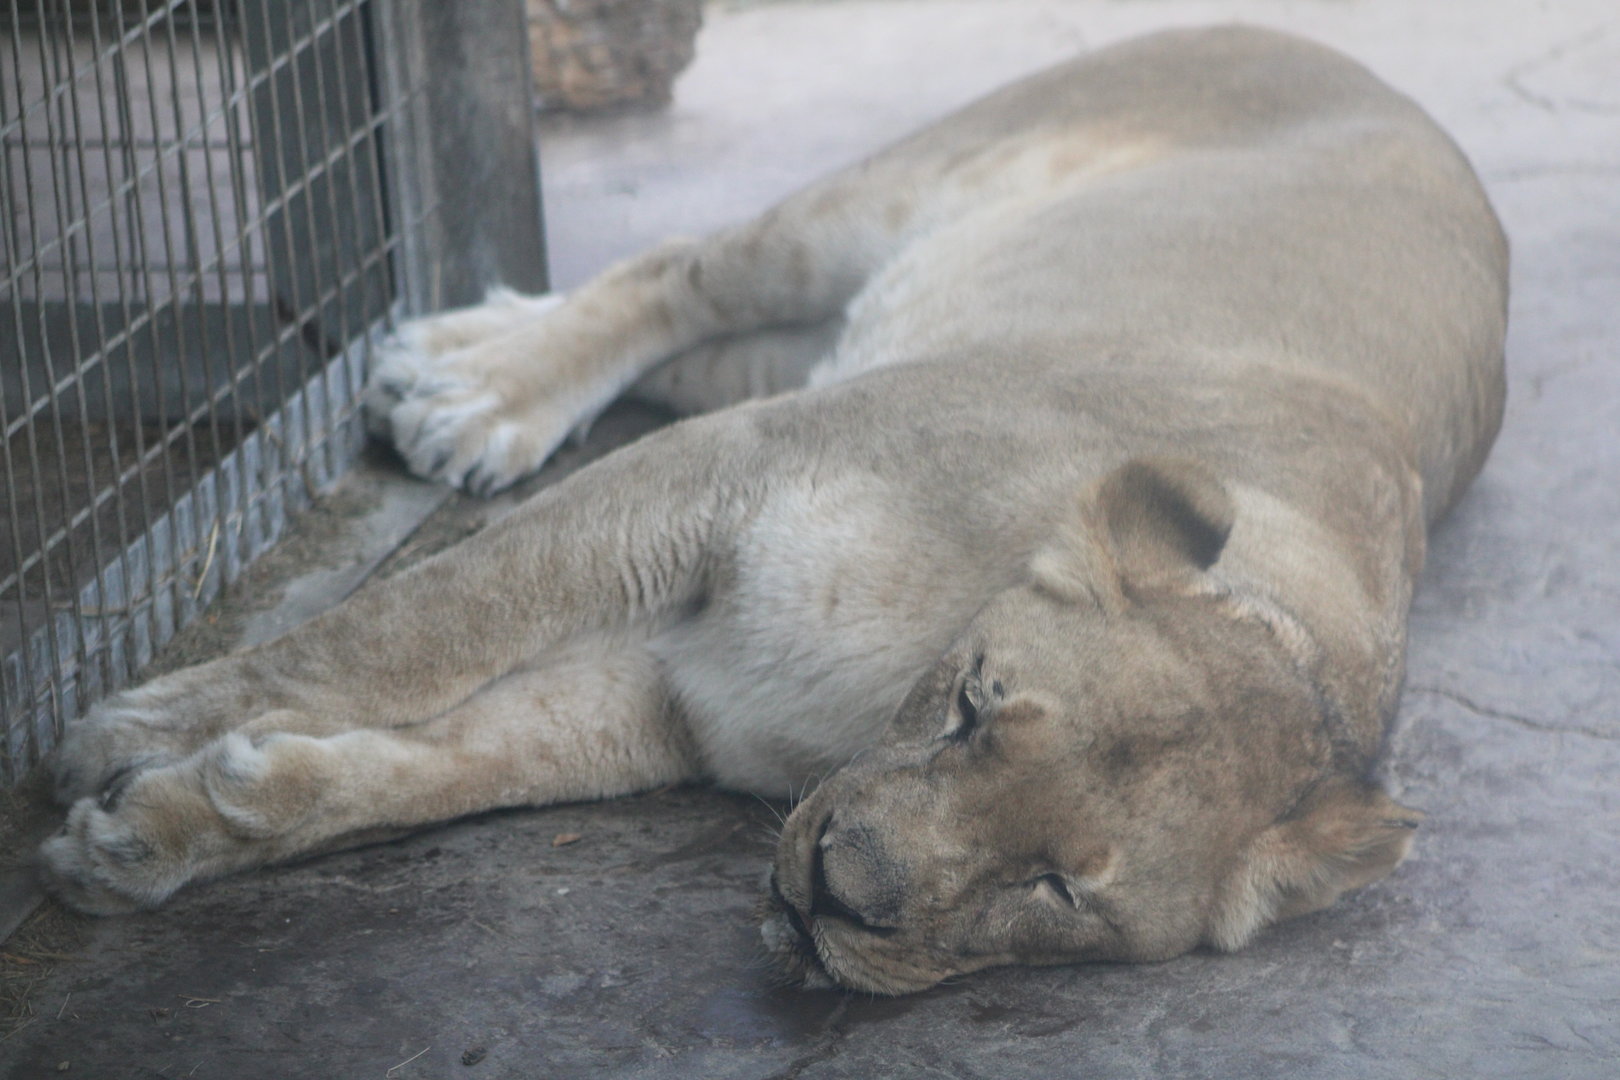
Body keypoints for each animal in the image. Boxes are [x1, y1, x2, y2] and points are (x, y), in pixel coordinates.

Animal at [38, 25, 1506, 996]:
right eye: (973, 709)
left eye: (1056, 892)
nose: (832, 895)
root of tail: (1370, 69)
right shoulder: (722, 470)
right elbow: (411, 629)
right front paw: (132, 730)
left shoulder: (679, 698)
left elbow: (444, 765)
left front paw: (163, 829)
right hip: (876, 203)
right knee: (677, 270)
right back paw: (472, 396)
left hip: (849, 324)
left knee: (698, 329)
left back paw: (453, 360)